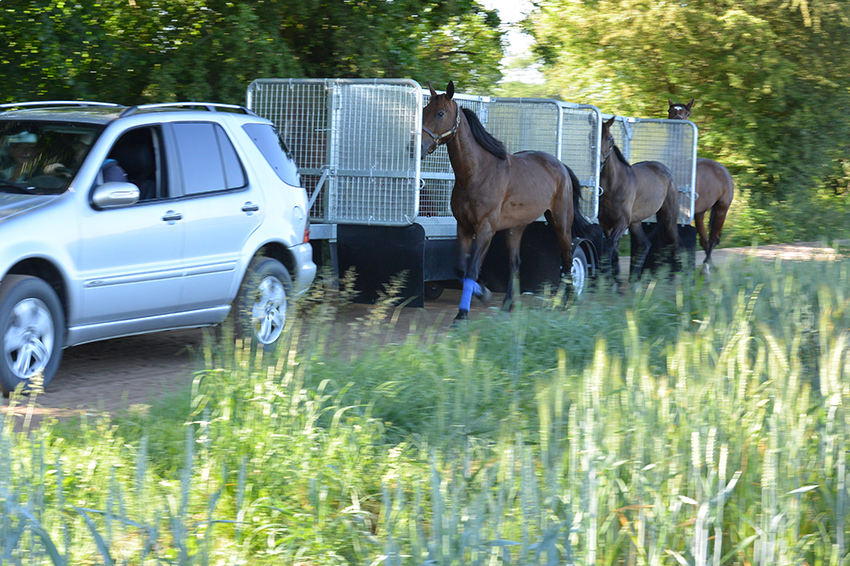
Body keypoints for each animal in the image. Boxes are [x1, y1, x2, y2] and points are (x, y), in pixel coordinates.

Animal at [418, 80, 588, 322]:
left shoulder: (486, 229)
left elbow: (471, 269)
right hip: (516, 228)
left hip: (561, 222)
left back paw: (569, 301)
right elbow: (460, 269)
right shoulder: (464, 226)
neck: (476, 174)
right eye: (424, 110)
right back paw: (508, 304)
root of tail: (561, 166)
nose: (417, 147)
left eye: (440, 113)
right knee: (515, 263)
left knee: (567, 258)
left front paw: (462, 314)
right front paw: (485, 294)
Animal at [596, 116, 684, 284]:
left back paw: (678, 278)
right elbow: (613, 249)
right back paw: (635, 278)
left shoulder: (622, 222)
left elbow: (610, 245)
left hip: (669, 217)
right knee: (646, 244)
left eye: (609, 138)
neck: (613, 185)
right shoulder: (606, 223)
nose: (600, 163)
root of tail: (666, 171)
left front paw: (607, 279)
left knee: (675, 243)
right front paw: (614, 281)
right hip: (635, 223)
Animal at [664, 98, 732, 276]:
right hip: (700, 214)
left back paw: (706, 267)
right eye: (670, 110)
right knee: (705, 240)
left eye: (687, 113)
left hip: (721, 209)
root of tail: (723, 169)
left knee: (713, 238)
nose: (679, 123)